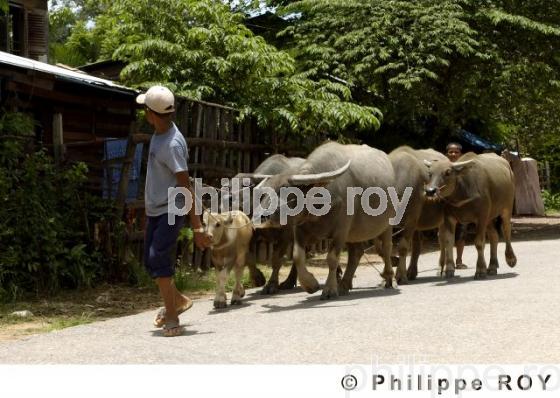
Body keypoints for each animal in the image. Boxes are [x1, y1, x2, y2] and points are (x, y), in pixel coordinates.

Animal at [241, 141, 398, 300]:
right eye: (263, 194)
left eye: (285, 189)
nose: (260, 216)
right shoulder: (300, 230)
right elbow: (297, 257)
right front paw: (311, 285)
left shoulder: (340, 231)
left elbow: (332, 258)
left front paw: (329, 289)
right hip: (355, 233)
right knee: (356, 253)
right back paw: (344, 285)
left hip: (387, 224)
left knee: (386, 248)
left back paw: (389, 278)